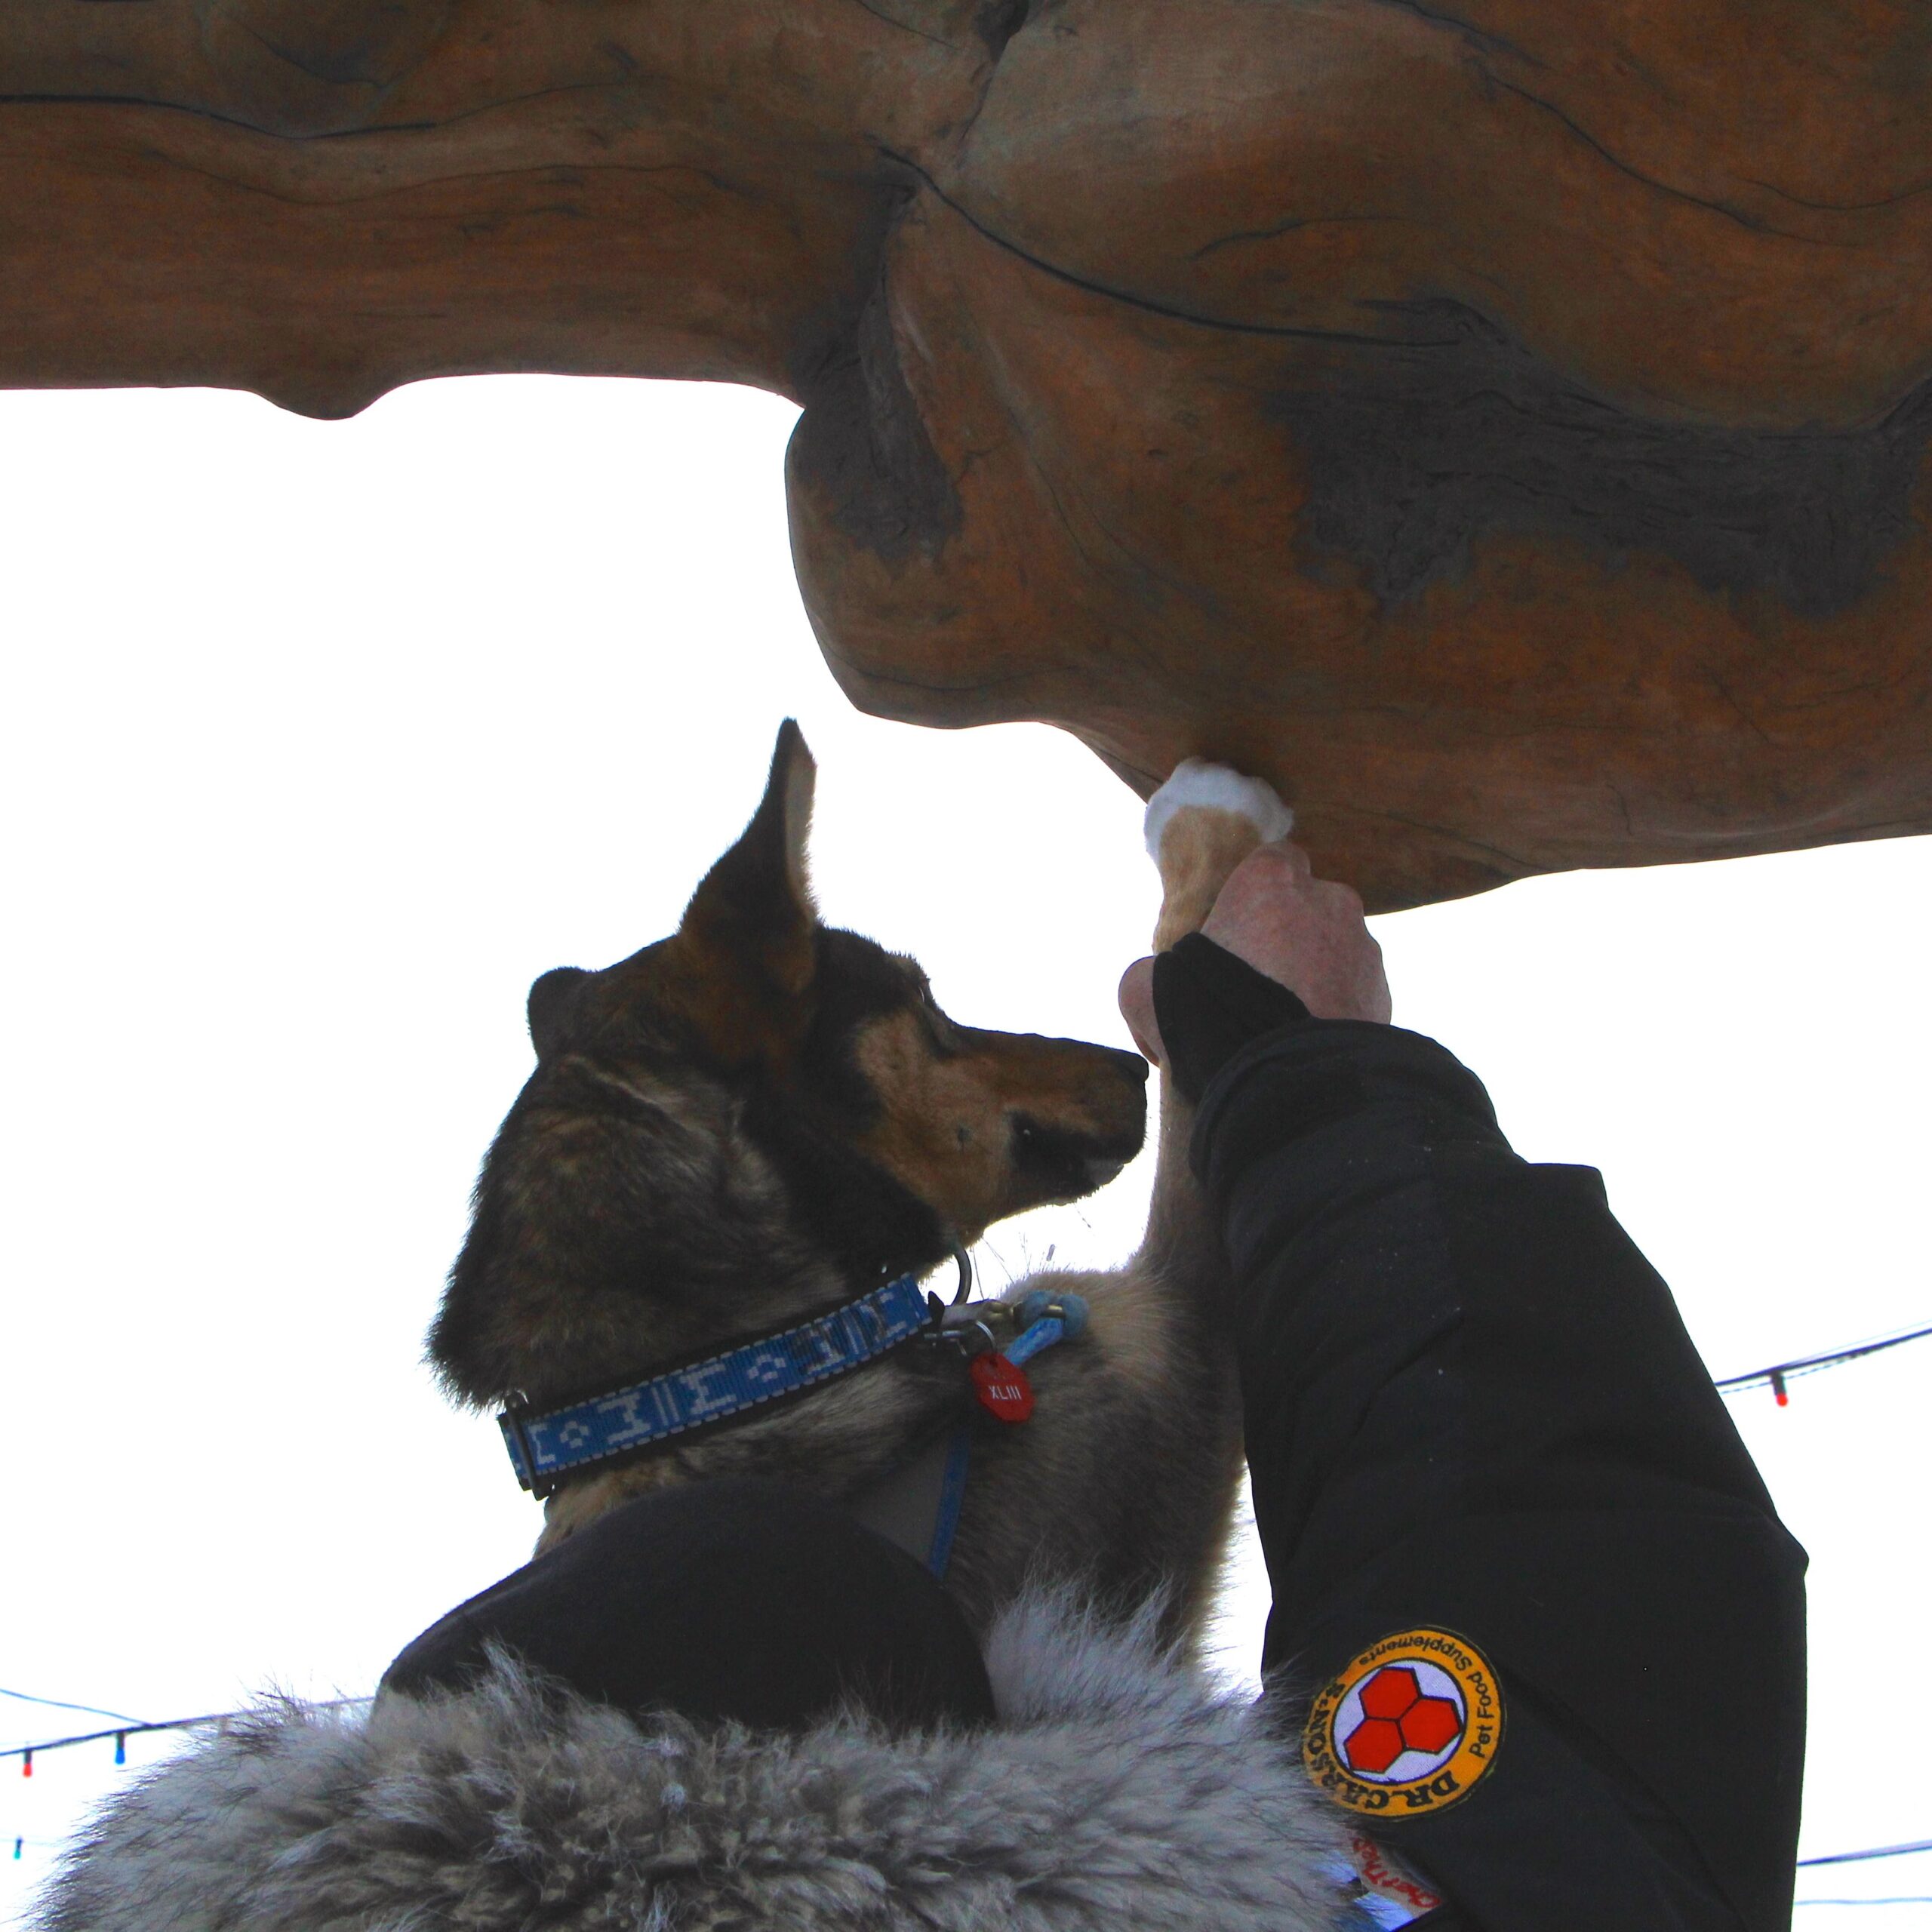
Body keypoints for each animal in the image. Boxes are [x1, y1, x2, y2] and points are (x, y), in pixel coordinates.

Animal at [429, 723, 1292, 1647]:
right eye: (926, 1000)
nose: (1127, 1066)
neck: (740, 1366)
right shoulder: (1177, 1348)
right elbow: (1188, 981)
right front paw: (1216, 808)